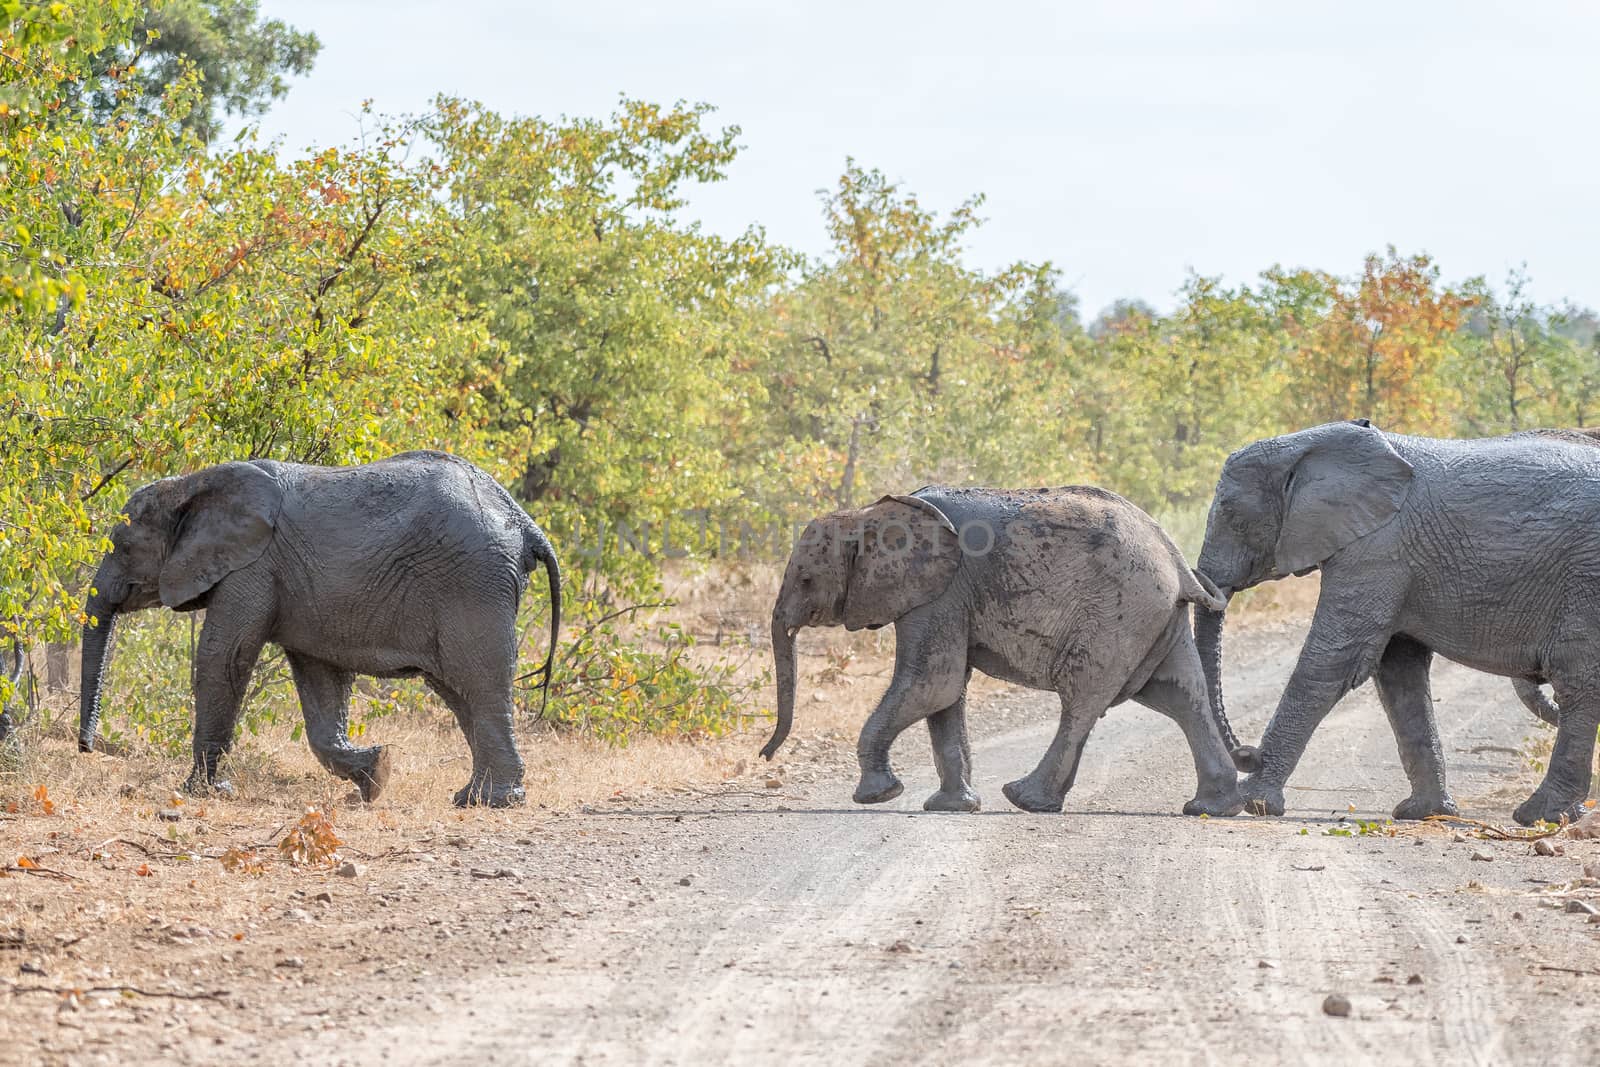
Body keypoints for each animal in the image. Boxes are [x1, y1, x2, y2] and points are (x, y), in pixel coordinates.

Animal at [76, 451, 563, 809]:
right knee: (460, 694)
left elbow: (225, 658)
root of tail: (524, 522)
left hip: (473, 584)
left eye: (122, 547)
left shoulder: (252, 567)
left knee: (479, 686)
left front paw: (201, 791)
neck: (190, 485)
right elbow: (320, 680)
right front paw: (377, 773)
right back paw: (471, 796)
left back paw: (493, 802)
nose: (86, 749)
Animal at [764, 486, 1248, 819]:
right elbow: (945, 695)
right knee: (1180, 696)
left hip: (1119, 613)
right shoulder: (941, 597)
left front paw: (878, 795)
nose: (766, 755)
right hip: (1157, 617)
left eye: (806, 579)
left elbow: (931, 685)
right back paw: (1210, 808)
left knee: (1083, 701)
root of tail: (1177, 560)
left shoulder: (939, 594)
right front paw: (952, 807)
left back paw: (1026, 798)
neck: (869, 513)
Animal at [1196, 415, 1600, 825]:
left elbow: (1332, 662)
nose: (1247, 753)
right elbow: (1399, 673)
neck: (1311, 446)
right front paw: (1423, 813)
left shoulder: (1377, 549)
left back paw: (1540, 815)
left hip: (1586, 580)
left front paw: (1252, 804)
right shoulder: (1392, 557)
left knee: (1578, 684)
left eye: (1231, 514)